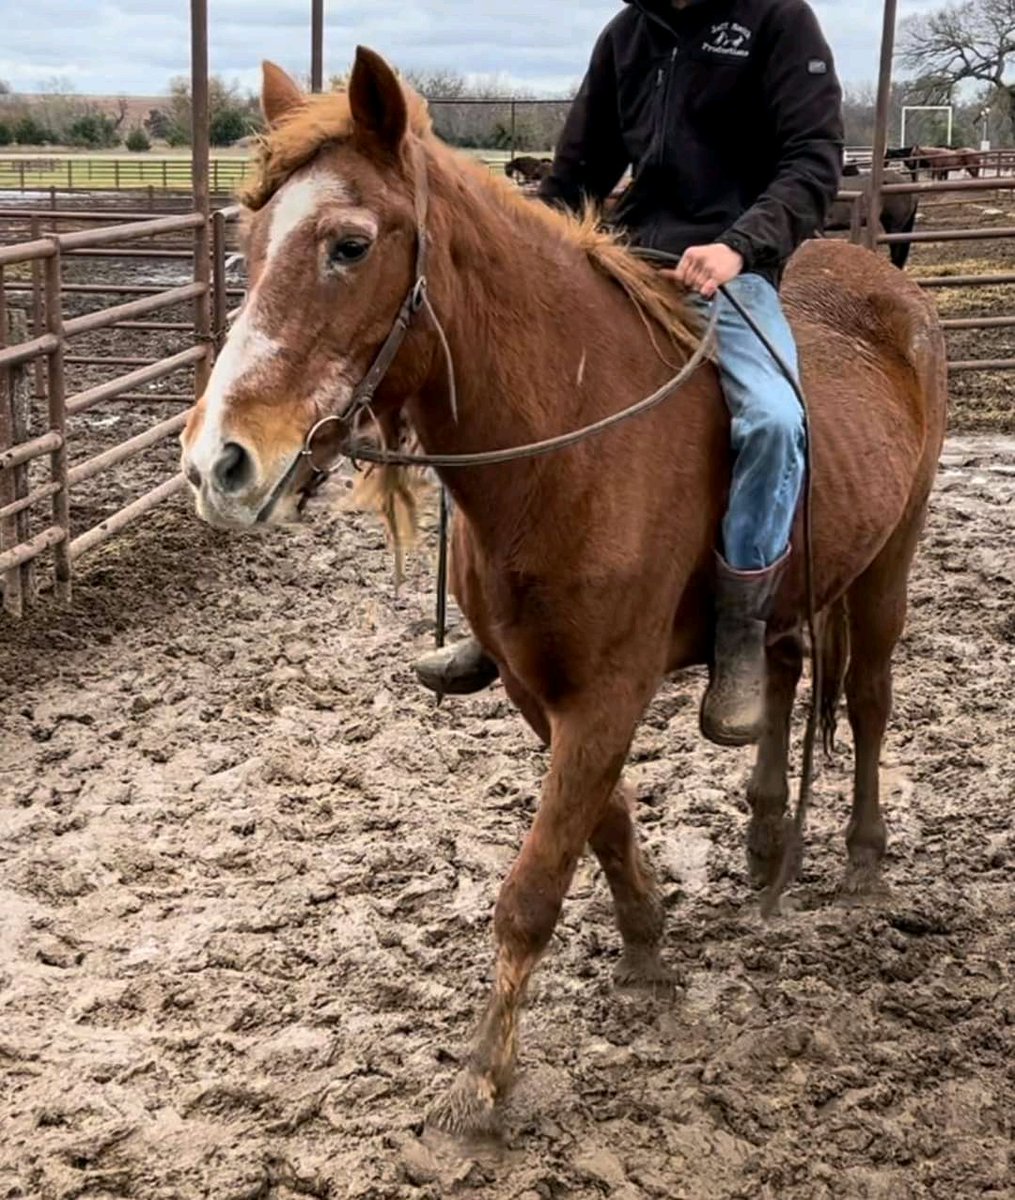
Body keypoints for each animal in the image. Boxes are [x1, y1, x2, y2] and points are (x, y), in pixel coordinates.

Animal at [180, 50, 948, 1138]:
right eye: (247, 244)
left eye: (348, 245)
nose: (219, 465)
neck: (570, 438)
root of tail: (888, 288)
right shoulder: (538, 692)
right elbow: (605, 825)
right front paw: (647, 948)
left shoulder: (609, 693)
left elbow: (534, 884)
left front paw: (479, 1086)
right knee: (782, 673)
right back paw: (765, 844)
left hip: (891, 560)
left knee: (872, 702)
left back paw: (862, 859)